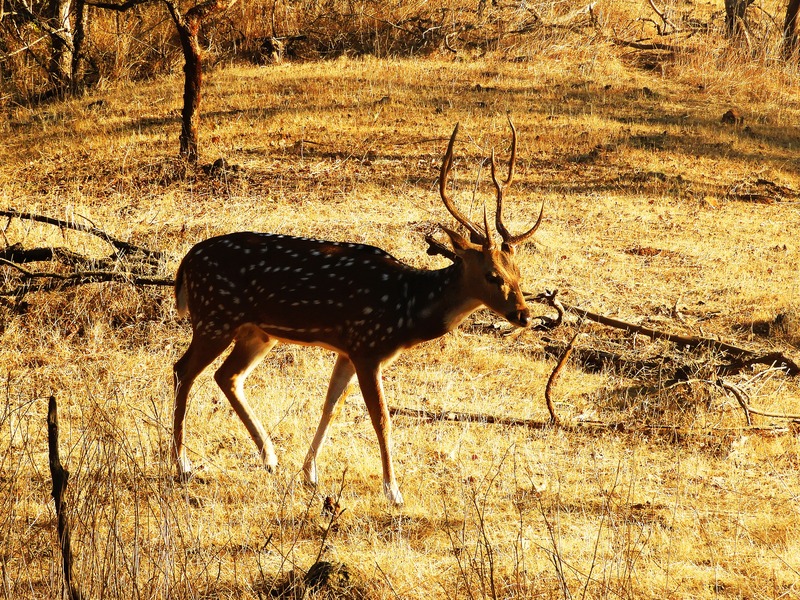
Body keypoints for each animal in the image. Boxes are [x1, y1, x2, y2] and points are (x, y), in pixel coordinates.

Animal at [172, 120, 542, 505]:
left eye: (519, 272)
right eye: (492, 275)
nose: (524, 315)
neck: (406, 310)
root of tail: (186, 262)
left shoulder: (347, 349)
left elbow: (330, 405)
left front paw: (310, 474)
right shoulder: (367, 346)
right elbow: (382, 418)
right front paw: (393, 491)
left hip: (257, 332)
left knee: (227, 375)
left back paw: (269, 458)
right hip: (215, 316)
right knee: (183, 370)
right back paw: (182, 465)